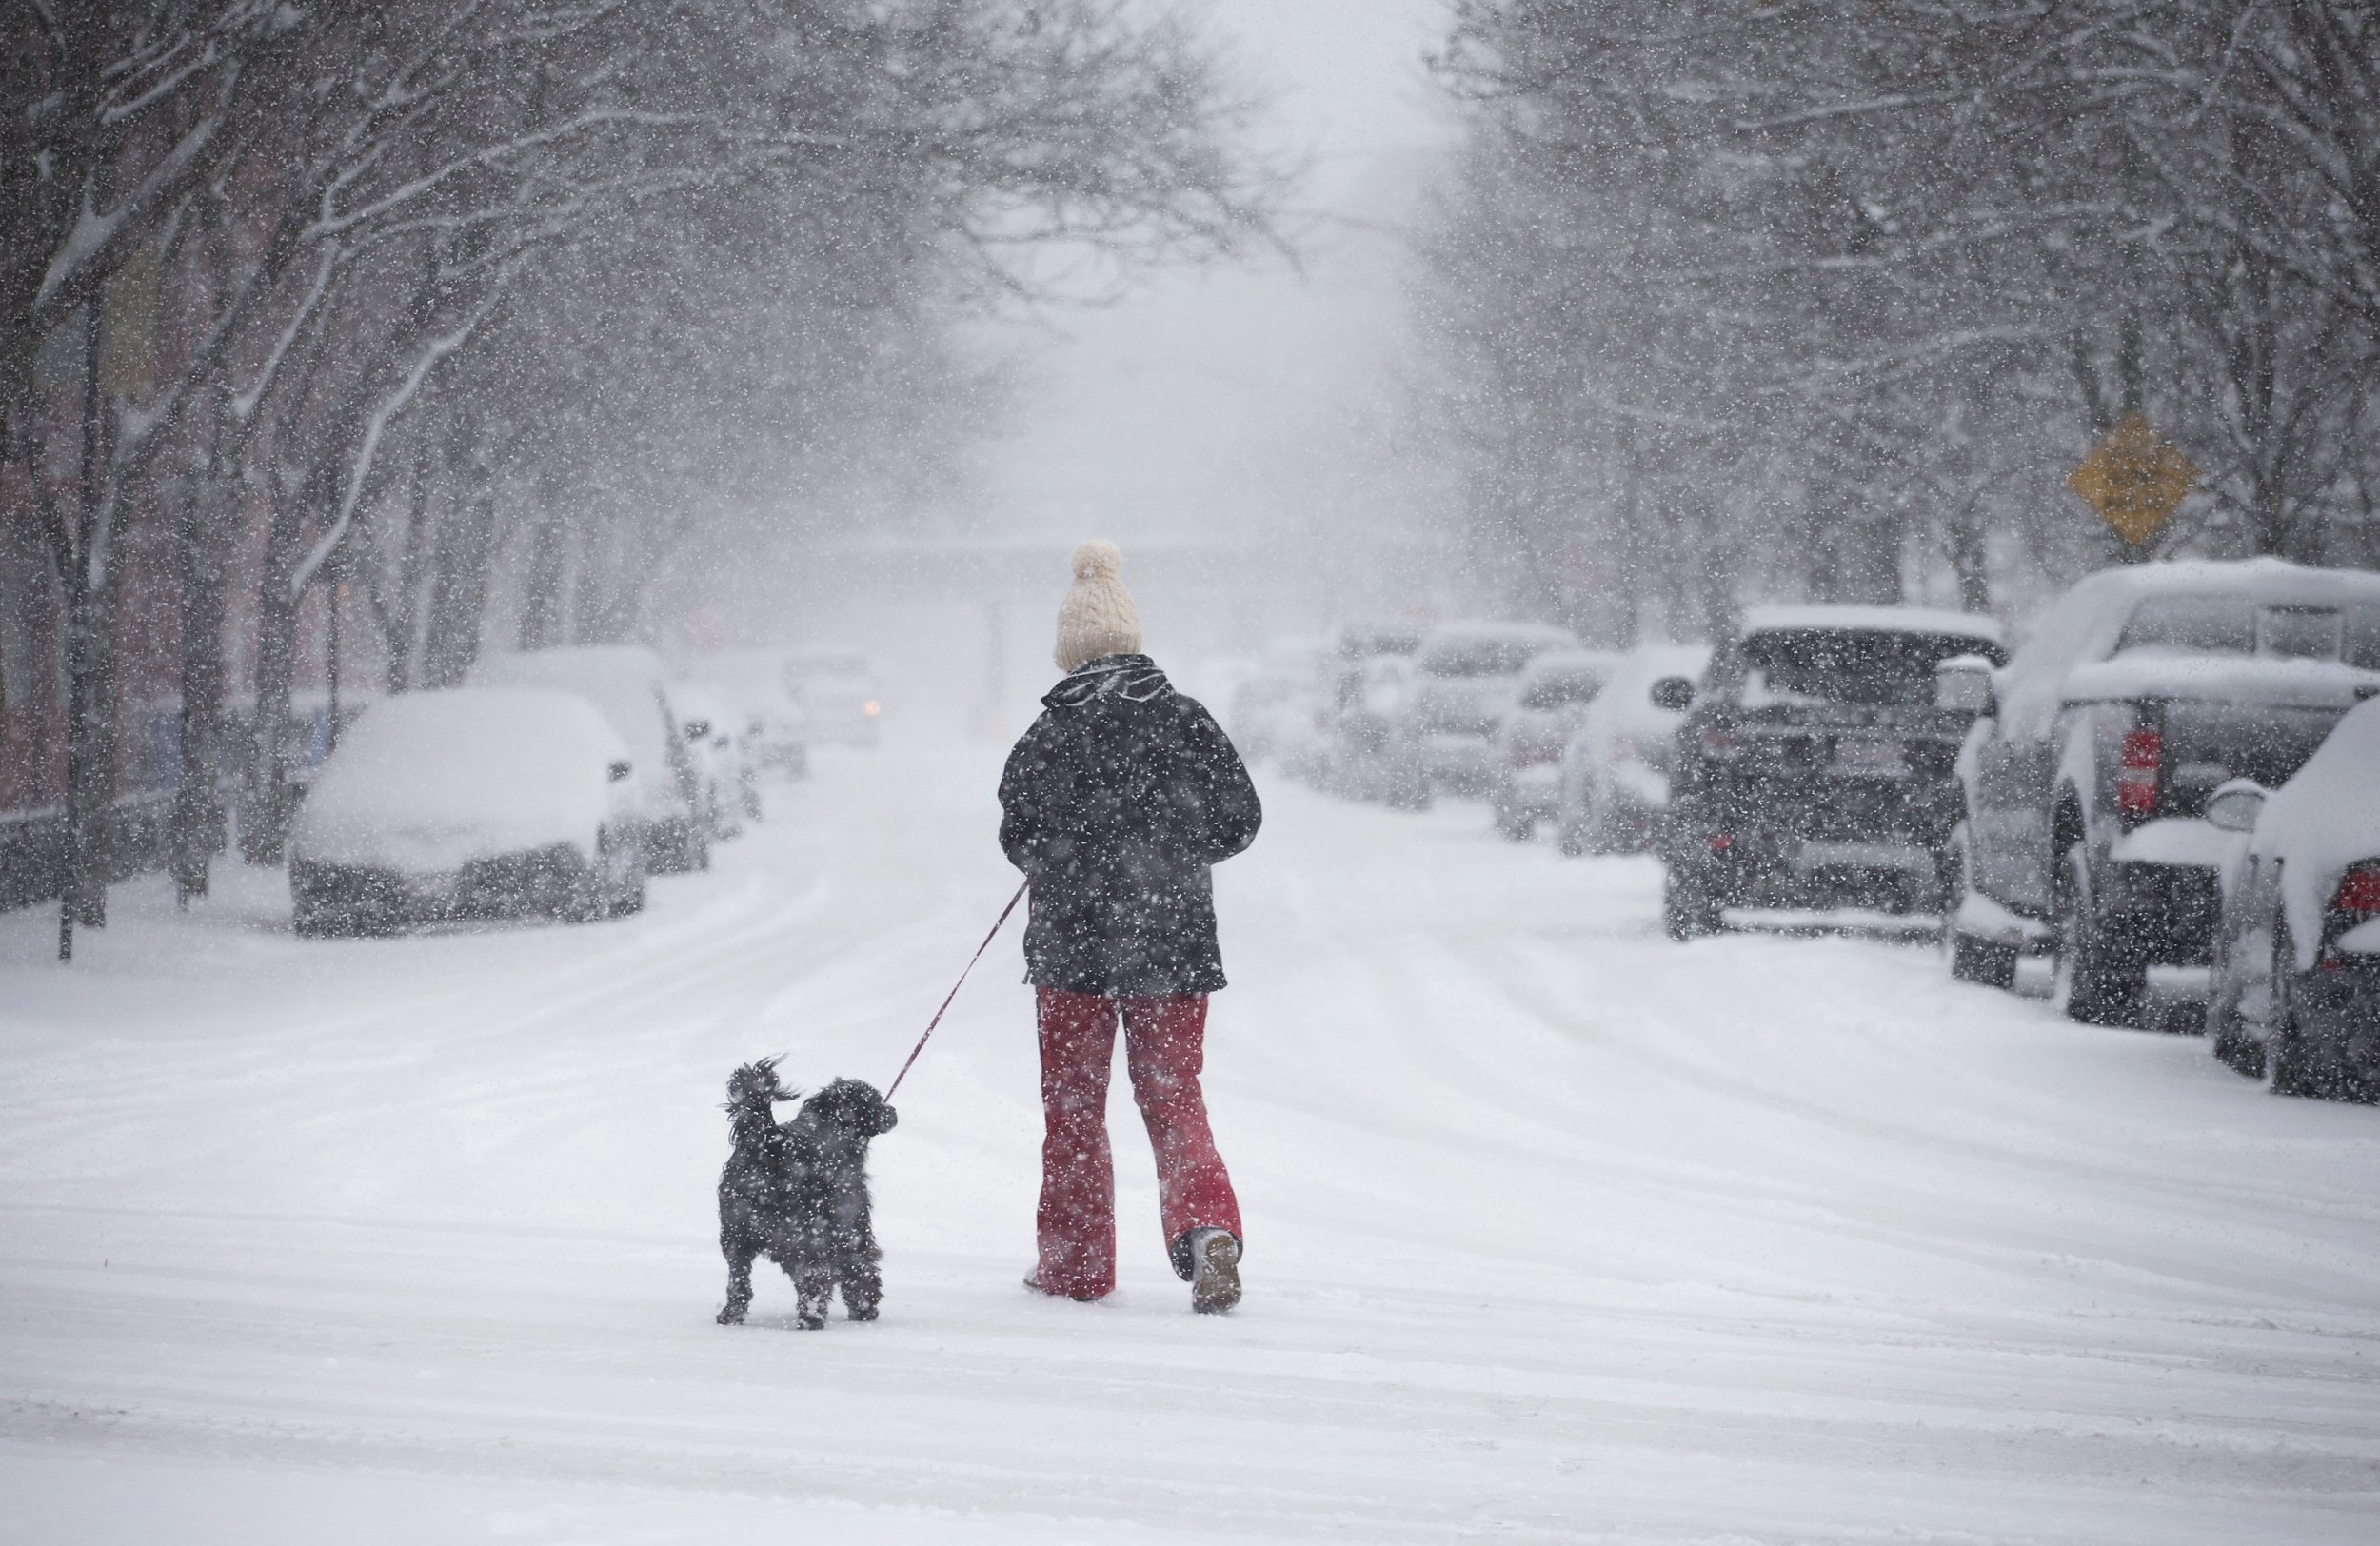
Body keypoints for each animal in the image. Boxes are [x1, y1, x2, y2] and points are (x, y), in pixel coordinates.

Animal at [714, 1060, 900, 1322]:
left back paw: (731, 1315)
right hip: (811, 1233)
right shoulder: (851, 1223)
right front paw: (865, 1307)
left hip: (736, 1230)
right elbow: (860, 1267)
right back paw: (812, 1318)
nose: (892, 1110)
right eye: (872, 1100)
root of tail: (770, 1141)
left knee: (738, 1278)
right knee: (814, 1281)